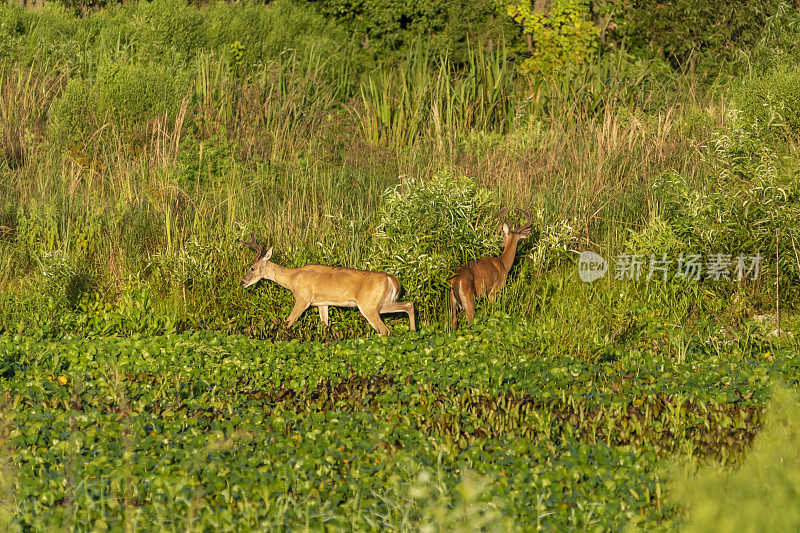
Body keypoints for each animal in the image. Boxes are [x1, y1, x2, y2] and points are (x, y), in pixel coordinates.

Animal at [239, 234, 416, 334]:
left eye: (252, 268)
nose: (242, 282)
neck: (291, 278)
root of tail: (391, 279)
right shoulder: (322, 303)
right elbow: (324, 326)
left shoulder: (303, 298)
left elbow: (288, 322)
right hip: (383, 303)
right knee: (409, 304)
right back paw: (414, 333)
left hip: (369, 305)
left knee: (384, 330)